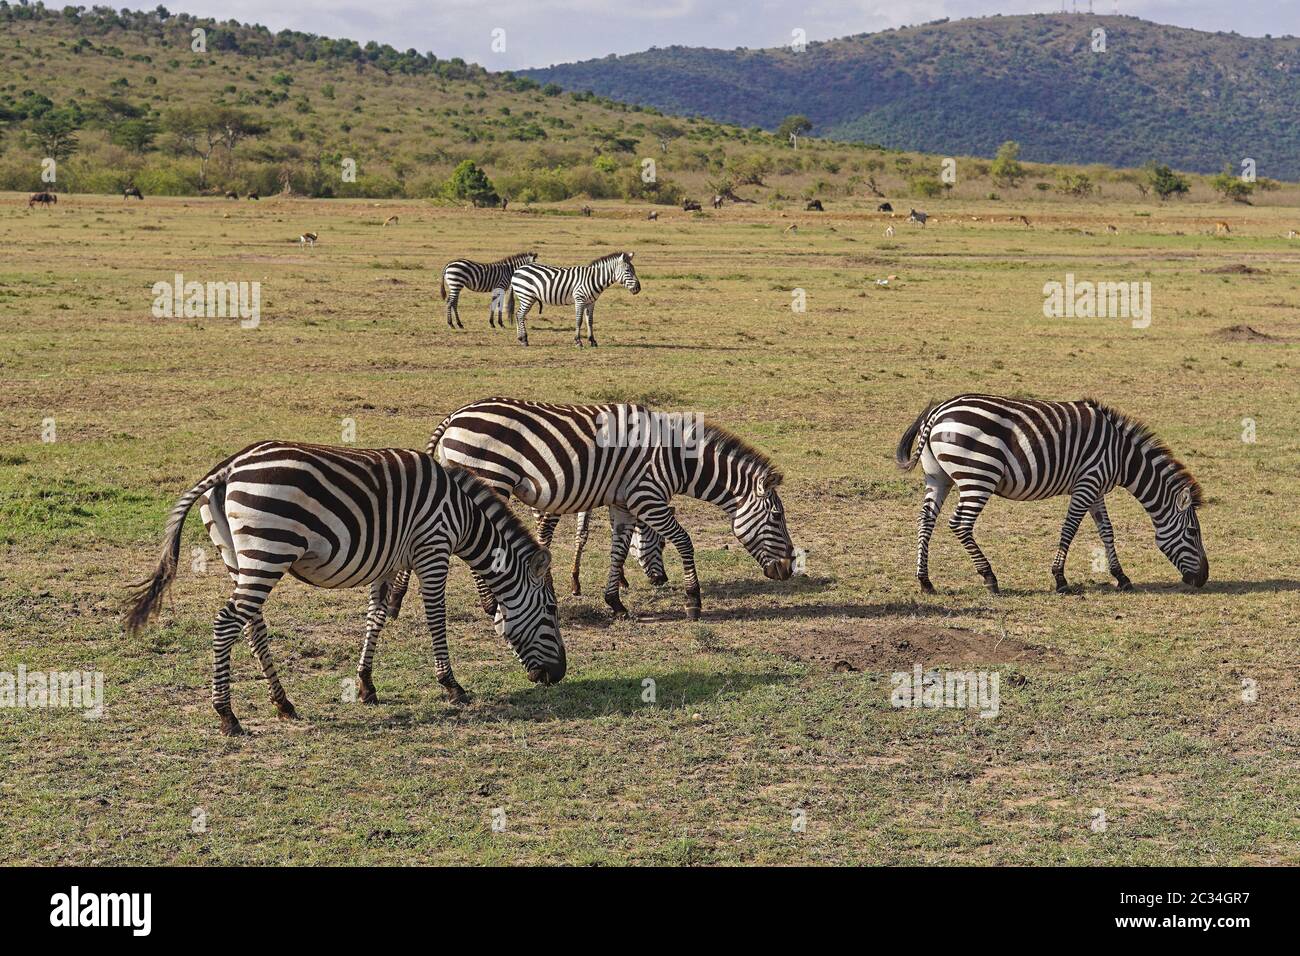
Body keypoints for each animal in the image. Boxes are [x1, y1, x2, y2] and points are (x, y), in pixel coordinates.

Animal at [124, 441, 564, 736]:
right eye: (551, 612)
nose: (558, 675)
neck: (464, 516)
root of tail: (229, 467)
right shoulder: (433, 549)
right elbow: (436, 619)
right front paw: (452, 686)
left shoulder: (389, 561)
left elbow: (377, 616)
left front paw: (366, 684)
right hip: (269, 549)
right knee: (226, 622)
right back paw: (227, 715)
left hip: (240, 555)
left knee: (252, 625)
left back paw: (283, 702)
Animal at [388, 398, 795, 620]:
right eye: (777, 517)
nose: (789, 570)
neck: (674, 458)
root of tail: (455, 416)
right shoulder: (648, 495)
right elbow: (684, 540)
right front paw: (693, 602)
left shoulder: (624, 502)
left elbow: (618, 548)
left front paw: (615, 602)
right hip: (489, 476)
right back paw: (489, 604)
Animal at [509, 252, 641, 347]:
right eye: (628, 271)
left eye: (634, 269)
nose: (638, 288)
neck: (593, 279)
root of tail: (519, 269)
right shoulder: (579, 300)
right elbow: (579, 320)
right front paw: (578, 341)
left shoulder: (591, 303)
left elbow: (590, 321)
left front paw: (592, 341)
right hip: (526, 296)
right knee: (520, 315)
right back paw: (524, 339)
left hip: (528, 297)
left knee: (518, 314)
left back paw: (520, 338)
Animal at [895, 394, 1208, 594]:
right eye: (1193, 532)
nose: (1204, 578)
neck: (1121, 456)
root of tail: (937, 412)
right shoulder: (1087, 483)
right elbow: (1069, 529)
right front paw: (1060, 579)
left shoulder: (1096, 489)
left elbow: (1107, 531)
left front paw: (1121, 576)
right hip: (978, 475)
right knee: (959, 524)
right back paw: (989, 578)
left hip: (939, 477)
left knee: (926, 521)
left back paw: (925, 581)